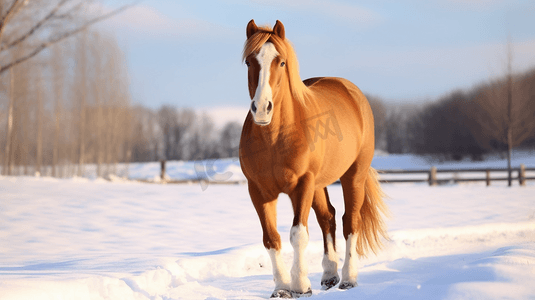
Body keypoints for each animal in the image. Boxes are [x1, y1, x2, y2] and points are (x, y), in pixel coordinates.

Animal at [241, 19, 388, 298]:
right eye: (249, 62)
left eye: (281, 62)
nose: (262, 108)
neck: (276, 138)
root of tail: (352, 92)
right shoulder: (258, 190)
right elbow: (271, 237)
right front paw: (281, 288)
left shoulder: (302, 184)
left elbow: (298, 234)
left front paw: (300, 285)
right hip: (319, 184)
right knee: (327, 217)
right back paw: (330, 275)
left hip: (353, 175)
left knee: (349, 222)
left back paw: (348, 278)